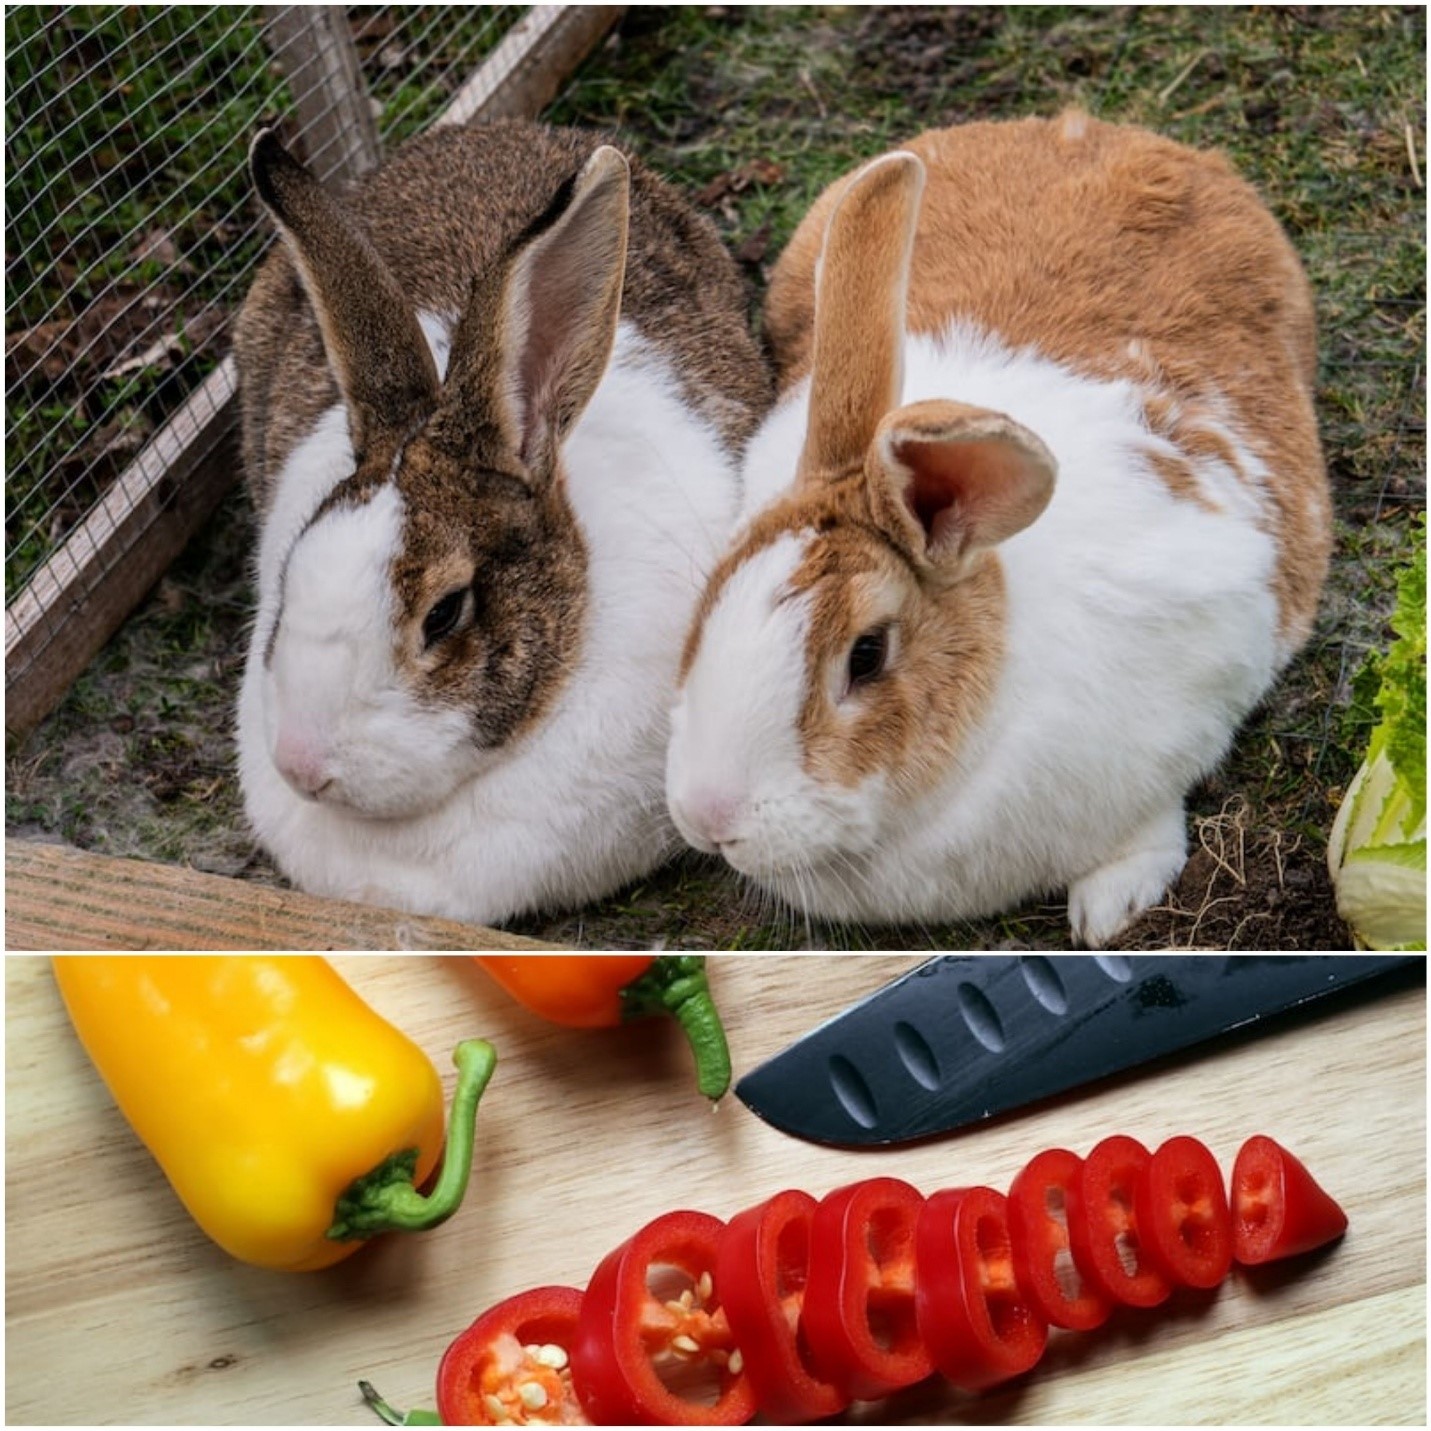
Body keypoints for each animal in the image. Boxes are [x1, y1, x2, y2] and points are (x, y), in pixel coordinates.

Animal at [666, 111, 1331, 949]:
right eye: (709, 600)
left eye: (866, 654)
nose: (708, 817)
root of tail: (1097, 130)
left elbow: (1147, 823)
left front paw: (1109, 911)